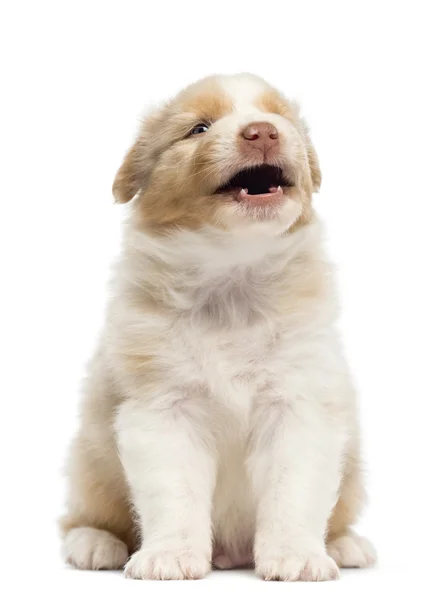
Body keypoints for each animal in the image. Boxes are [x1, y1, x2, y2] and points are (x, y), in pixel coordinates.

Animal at [60, 72, 376, 580]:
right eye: (199, 129)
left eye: (279, 119)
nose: (263, 132)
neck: (233, 277)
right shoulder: (164, 407)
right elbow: (175, 491)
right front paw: (169, 556)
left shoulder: (299, 402)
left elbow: (293, 489)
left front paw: (296, 556)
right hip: (90, 462)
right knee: (84, 515)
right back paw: (94, 543)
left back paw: (346, 545)